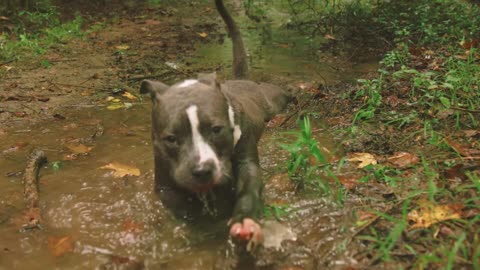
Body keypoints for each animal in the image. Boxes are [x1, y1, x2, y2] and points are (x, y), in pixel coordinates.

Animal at [139, 0, 288, 249]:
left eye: (216, 130)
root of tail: (242, 80)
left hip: (272, 98)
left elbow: (249, 188)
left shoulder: (246, 159)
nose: (202, 170)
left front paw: (245, 221)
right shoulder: (164, 182)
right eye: (171, 138)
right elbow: (181, 206)